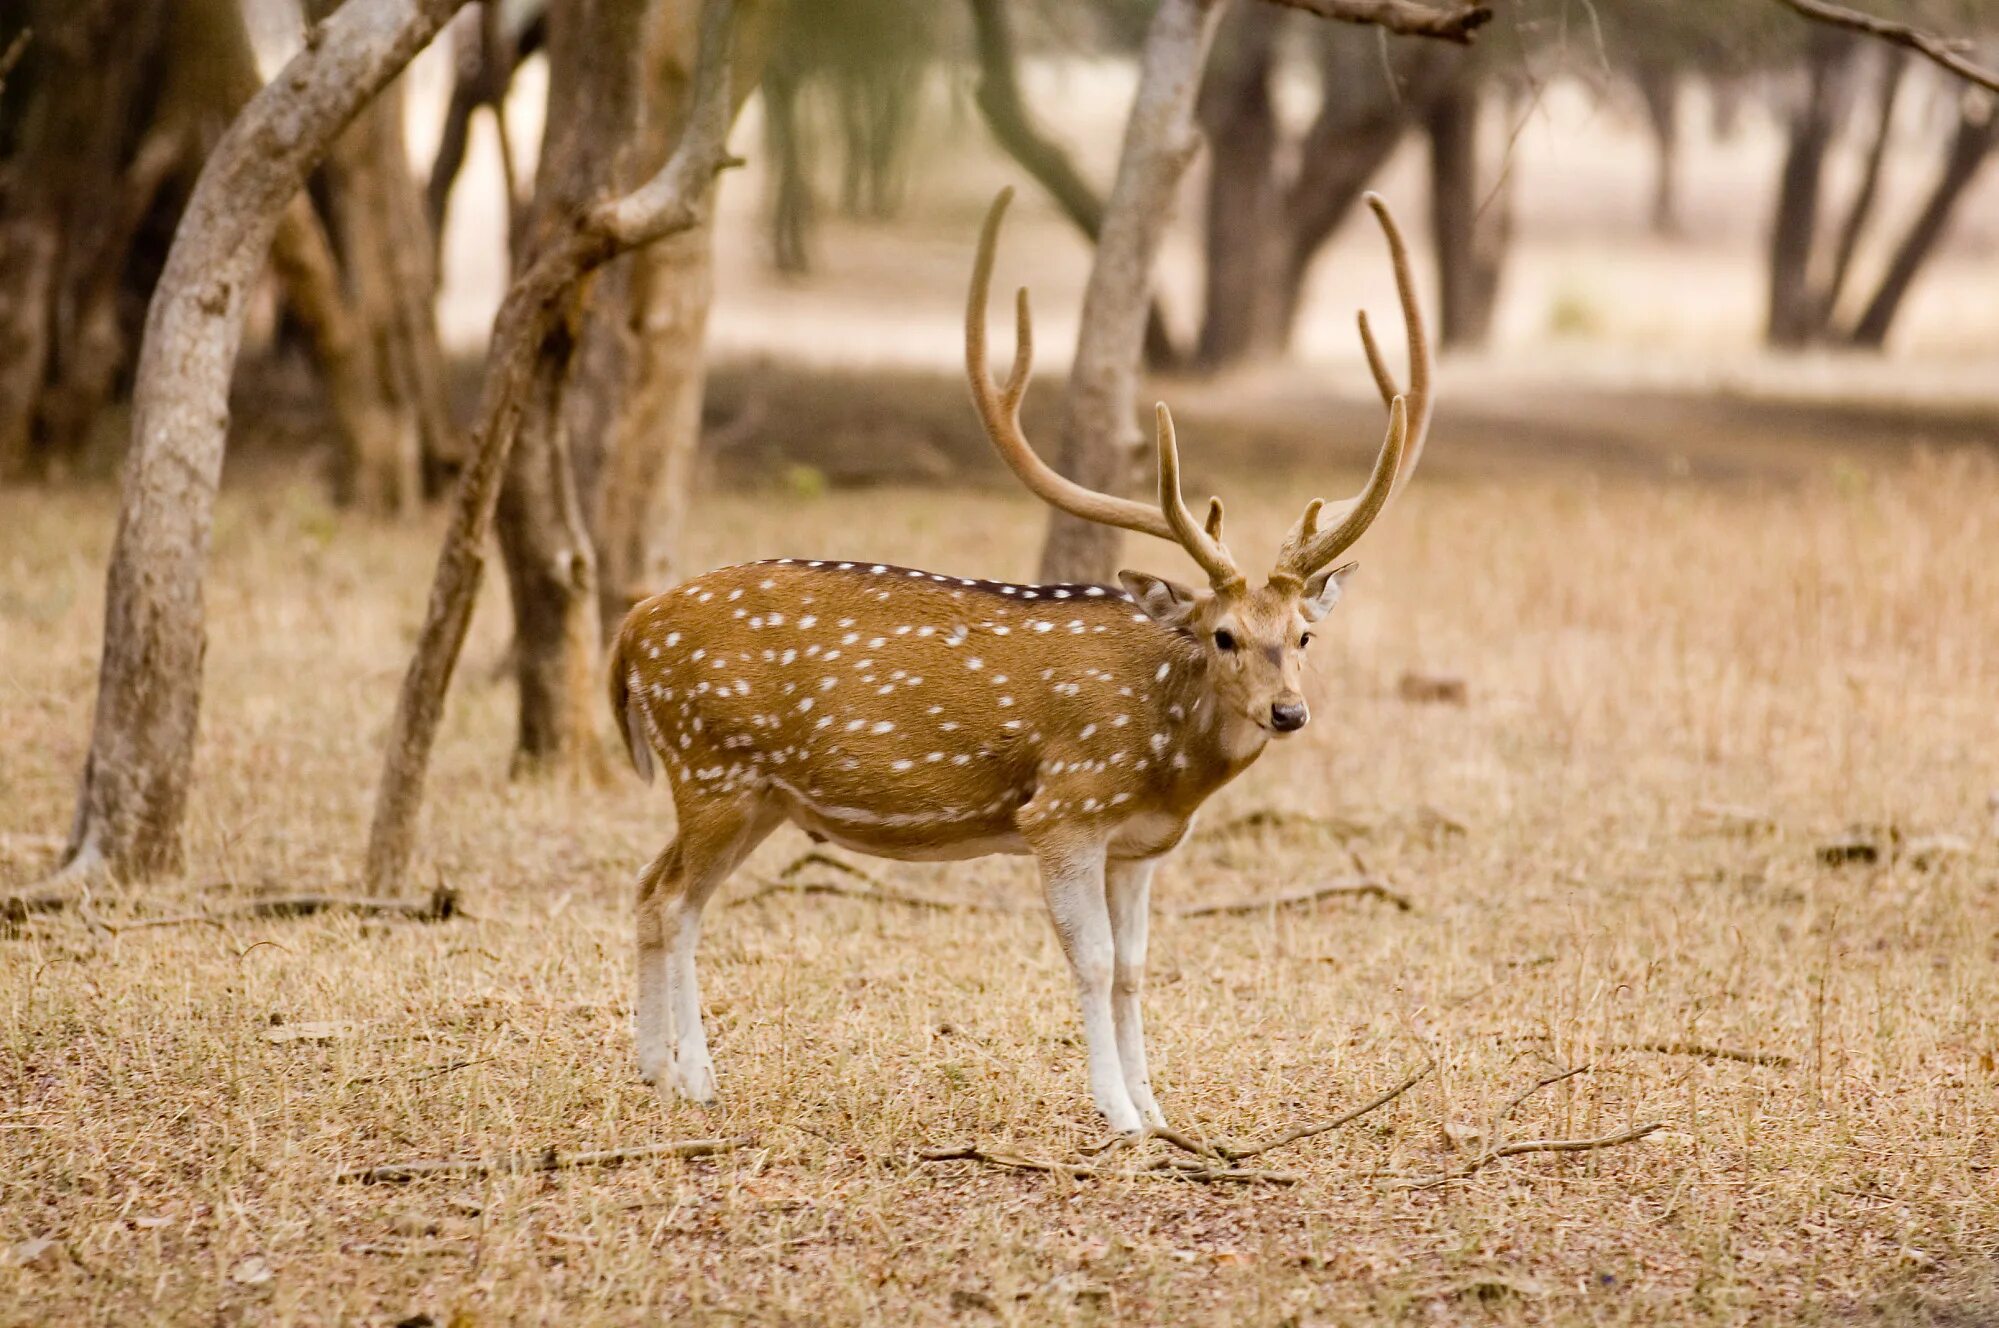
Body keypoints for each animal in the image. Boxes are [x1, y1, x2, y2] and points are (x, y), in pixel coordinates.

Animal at [599, 187, 1431, 1128]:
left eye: (1303, 636)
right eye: (1221, 634)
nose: (1287, 711)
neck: (1164, 760)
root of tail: (632, 629)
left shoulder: (1141, 845)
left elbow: (1135, 971)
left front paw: (1158, 1114)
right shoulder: (1063, 811)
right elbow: (1093, 963)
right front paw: (1117, 1117)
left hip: (757, 797)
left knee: (651, 888)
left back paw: (655, 1071)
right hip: (712, 767)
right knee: (674, 901)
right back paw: (693, 1079)